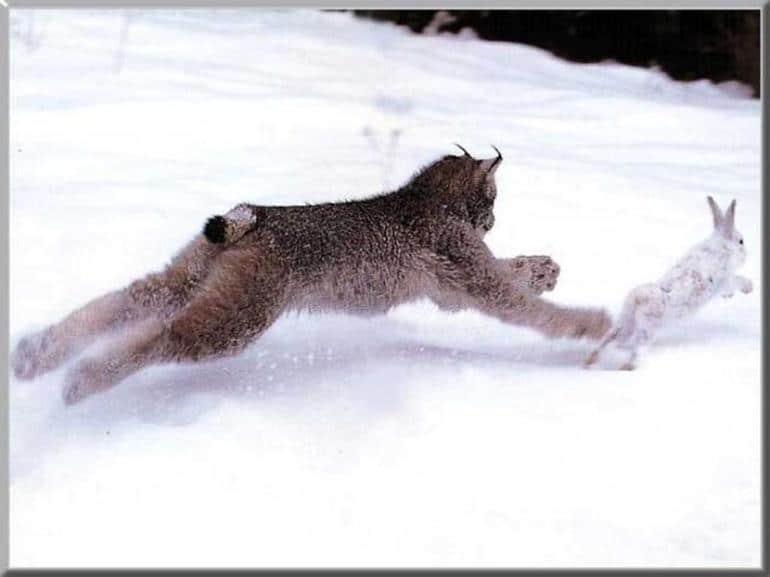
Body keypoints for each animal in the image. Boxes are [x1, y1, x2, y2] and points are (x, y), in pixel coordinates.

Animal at [584, 196, 748, 372]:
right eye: (741, 241)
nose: (746, 255)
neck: (722, 245)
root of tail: (638, 298)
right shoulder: (725, 279)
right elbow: (736, 280)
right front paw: (748, 287)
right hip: (647, 329)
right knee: (636, 350)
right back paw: (627, 367)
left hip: (626, 322)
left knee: (610, 339)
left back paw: (590, 362)